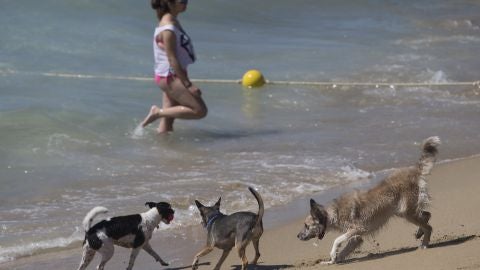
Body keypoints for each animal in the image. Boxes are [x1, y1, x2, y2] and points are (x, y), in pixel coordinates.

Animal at [298, 137, 440, 264]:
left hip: (406, 212)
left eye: (307, 226)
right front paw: (332, 261)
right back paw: (419, 233)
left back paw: (424, 244)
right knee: (427, 215)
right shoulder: (356, 238)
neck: (333, 213)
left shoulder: (358, 229)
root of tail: (414, 170)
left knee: (428, 226)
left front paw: (333, 254)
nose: (298, 236)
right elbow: (344, 250)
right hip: (404, 212)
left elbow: (337, 240)